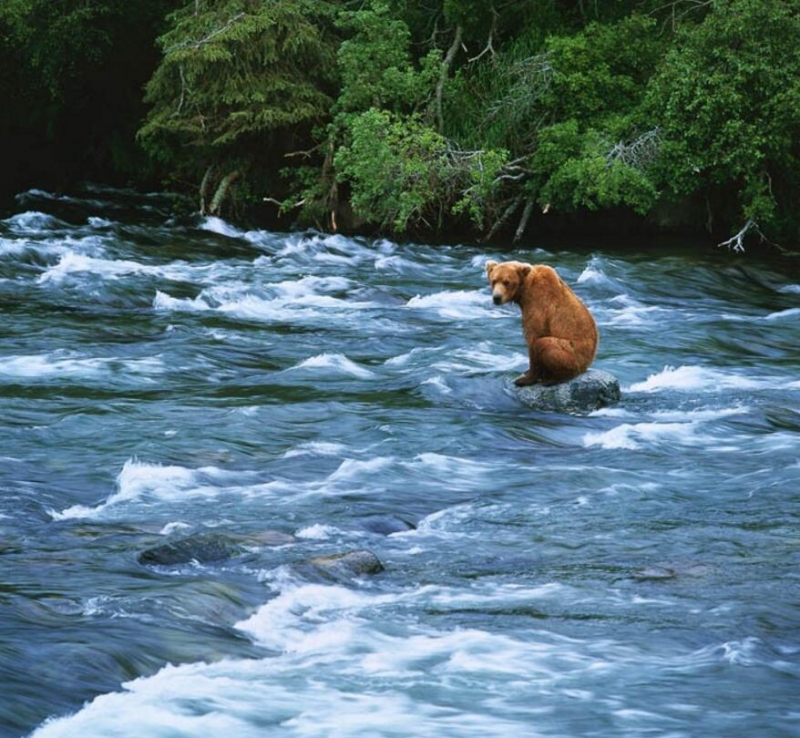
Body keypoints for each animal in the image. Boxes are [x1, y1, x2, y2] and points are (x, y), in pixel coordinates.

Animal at [484, 258, 596, 386]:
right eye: (494, 280)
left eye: (506, 282)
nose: (497, 297)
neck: (524, 290)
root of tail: (588, 363)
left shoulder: (538, 304)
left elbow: (534, 337)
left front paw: (525, 378)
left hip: (573, 354)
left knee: (545, 343)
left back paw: (553, 379)